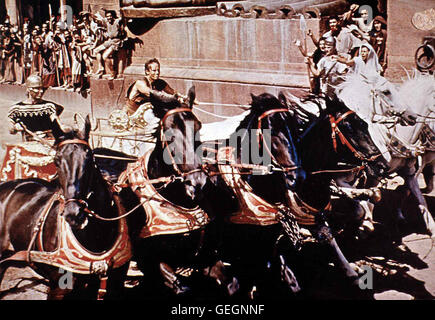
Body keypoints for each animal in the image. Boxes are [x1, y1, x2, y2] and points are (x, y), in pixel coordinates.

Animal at [338, 71, 435, 238]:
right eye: (386, 91)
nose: (411, 117)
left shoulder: (410, 173)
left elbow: (421, 200)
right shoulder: (372, 175)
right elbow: (367, 199)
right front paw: (364, 224)